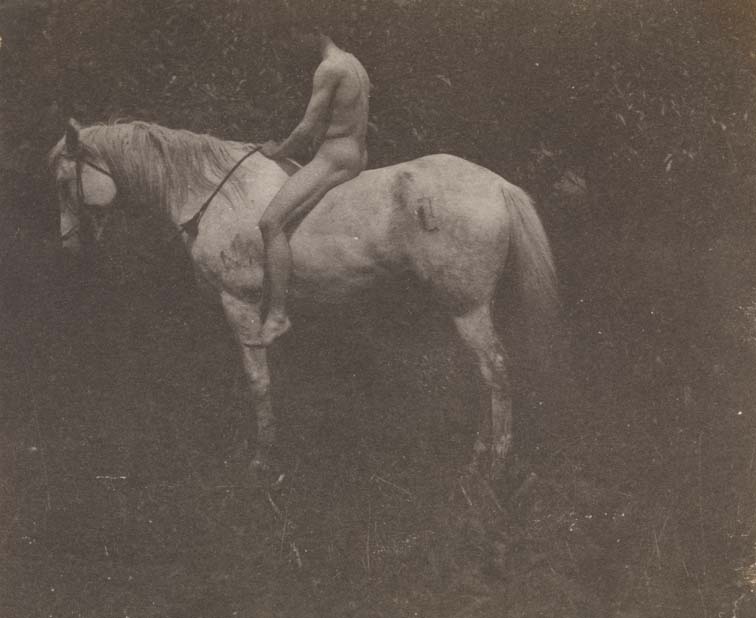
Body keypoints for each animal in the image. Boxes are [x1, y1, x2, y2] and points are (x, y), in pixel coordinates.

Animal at [48, 118, 559, 479]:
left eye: (64, 182)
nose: (68, 245)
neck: (212, 193)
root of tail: (496, 185)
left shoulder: (239, 303)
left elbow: (258, 379)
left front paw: (263, 458)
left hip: (468, 308)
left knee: (496, 371)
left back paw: (494, 469)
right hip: (468, 307)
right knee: (485, 376)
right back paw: (477, 459)